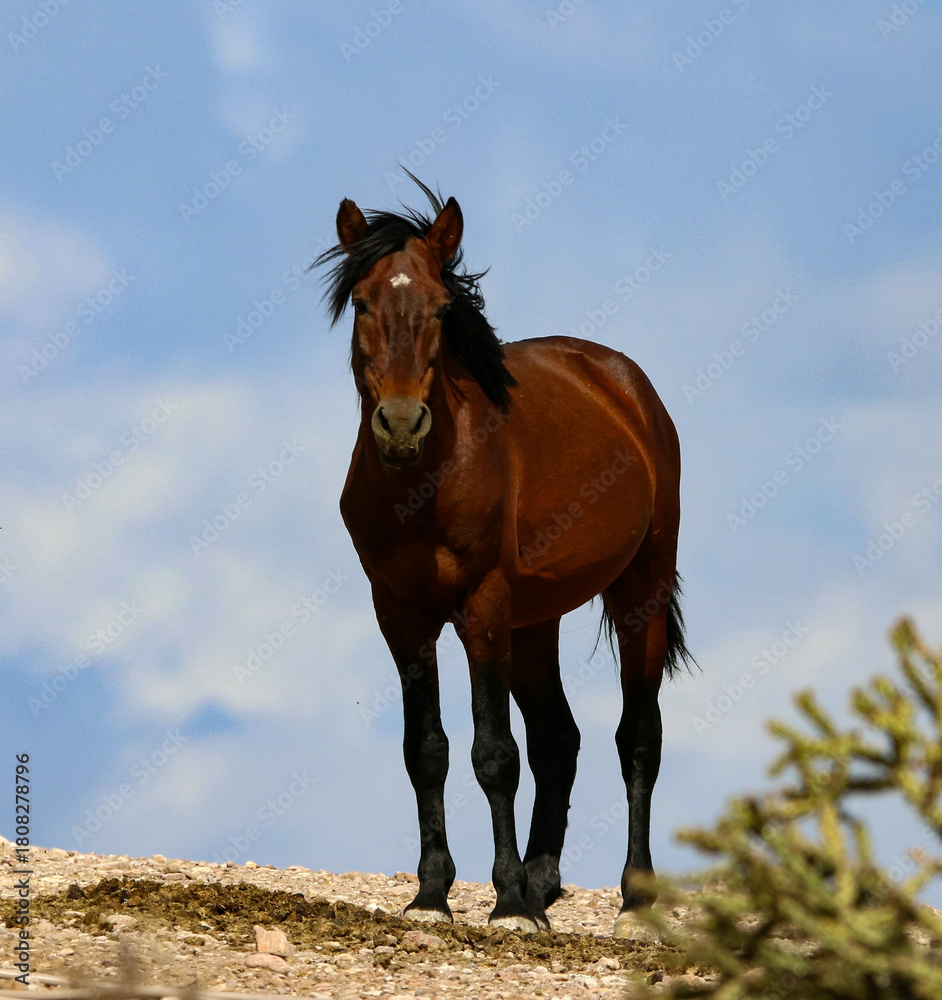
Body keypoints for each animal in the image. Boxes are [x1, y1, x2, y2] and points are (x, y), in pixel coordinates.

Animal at [315, 177, 693, 938]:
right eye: (362, 303)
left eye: (440, 308)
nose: (401, 425)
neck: (424, 484)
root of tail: (624, 383)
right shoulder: (401, 615)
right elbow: (426, 750)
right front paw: (433, 895)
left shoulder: (482, 606)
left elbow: (494, 753)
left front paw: (509, 904)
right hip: (534, 622)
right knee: (558, 740)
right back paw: (545, 880)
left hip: (638, 588)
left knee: (637, 736)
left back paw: (633, 901)